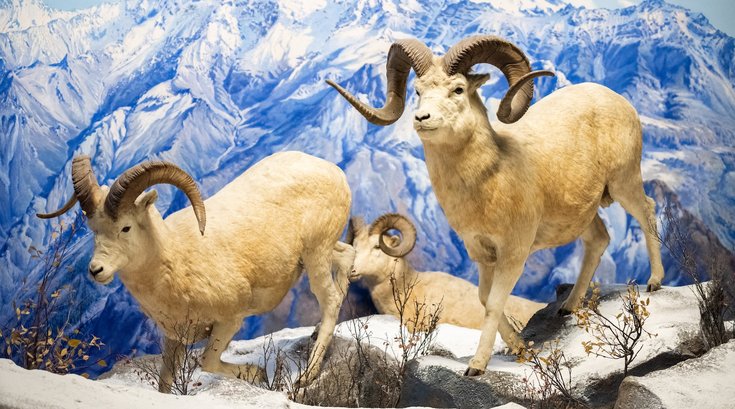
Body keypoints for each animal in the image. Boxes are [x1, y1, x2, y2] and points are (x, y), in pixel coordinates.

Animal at [36, 151, 354, 392]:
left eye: (125, 227)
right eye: (93, 229)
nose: (96, 270)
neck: (176, 259)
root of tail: (336, 172)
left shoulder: (229, 321)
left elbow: (207, 362)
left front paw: (258, 375)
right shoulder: (175, 337)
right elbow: (165, 383)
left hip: (315, 256)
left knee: (331, 300)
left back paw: (306, 377)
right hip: (320, 253)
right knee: (347, 258)